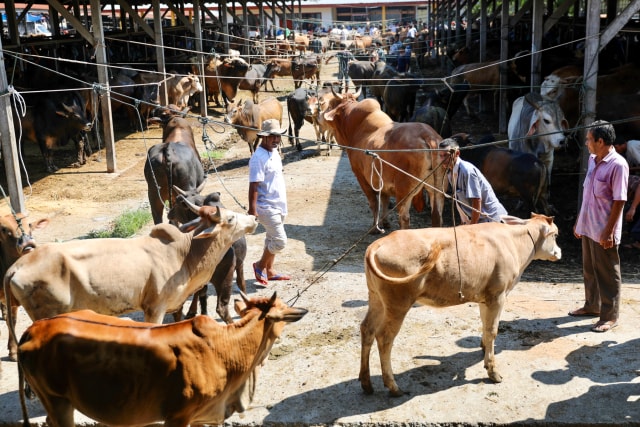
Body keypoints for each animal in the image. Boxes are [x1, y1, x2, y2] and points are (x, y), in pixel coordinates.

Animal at [14, 292, 304, 427]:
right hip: (57, 402)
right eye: (282, 309)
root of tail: (34, 329)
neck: (226, 347)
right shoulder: (178, 416)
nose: (299, 310)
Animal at [168, 189, 248, 322]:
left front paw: (195, 311)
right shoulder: (239, 264)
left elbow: (201, 293)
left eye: (177, 201)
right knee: (221, 308)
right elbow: (242, 285)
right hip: (225, 277)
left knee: (177, 308)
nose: (169, 213)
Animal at [324, 88, 444, 232]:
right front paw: (384, 222)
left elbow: (374, 202)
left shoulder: (361, 176)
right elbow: (385, 200)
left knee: (404, 217)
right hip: (438, 189)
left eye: (331, 105)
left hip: (404, 190)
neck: (356, 127)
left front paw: (374, 228)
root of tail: (427, 135)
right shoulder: (382, 181)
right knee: (437, 216)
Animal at [360, 214, 560, 398]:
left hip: (376, 298)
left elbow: (484, 325)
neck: (513, 243)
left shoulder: (485, 297)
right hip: (398, 304)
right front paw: (493, 371)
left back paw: (366, 383)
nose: (559, 252)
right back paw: (393, 387)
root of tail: (377, 244)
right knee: (384, 338)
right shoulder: (498, 295)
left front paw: (484, 348)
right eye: (556, 235)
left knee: (367, 329)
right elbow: (492, 330)